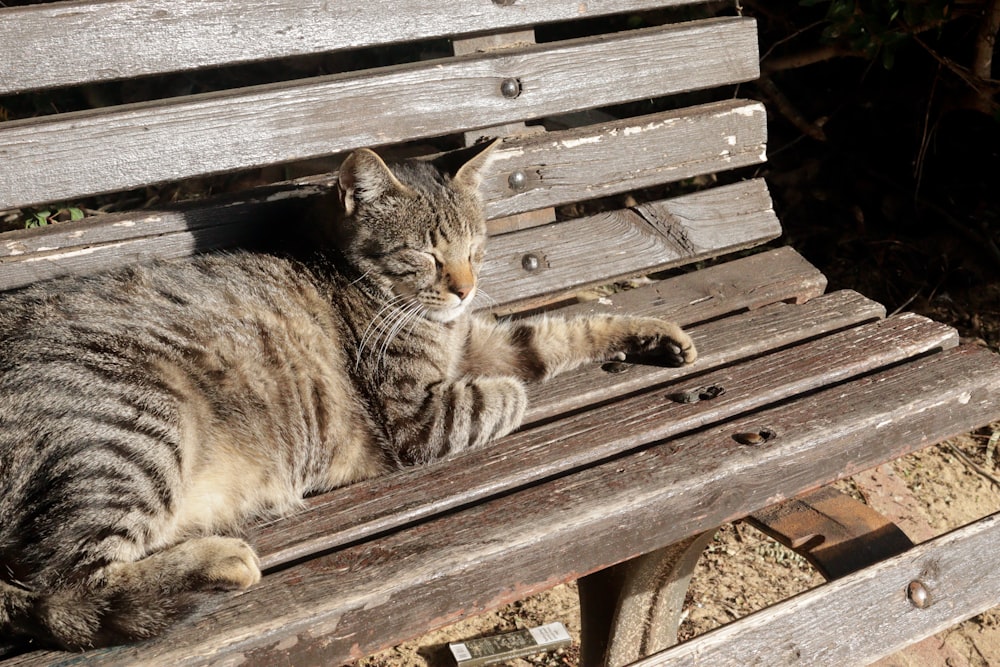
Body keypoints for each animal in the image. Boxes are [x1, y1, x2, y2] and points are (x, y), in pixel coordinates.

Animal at [0, 138, 696, 648]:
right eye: (424, 254)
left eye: (476, 248)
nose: (467, 287)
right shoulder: (421, 416)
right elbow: (508, 393)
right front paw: (513, 390)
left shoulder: (483, 339)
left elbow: (558, 332)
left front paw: (654, 333)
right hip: (133, 430)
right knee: (61, 592)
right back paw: (224, 561)